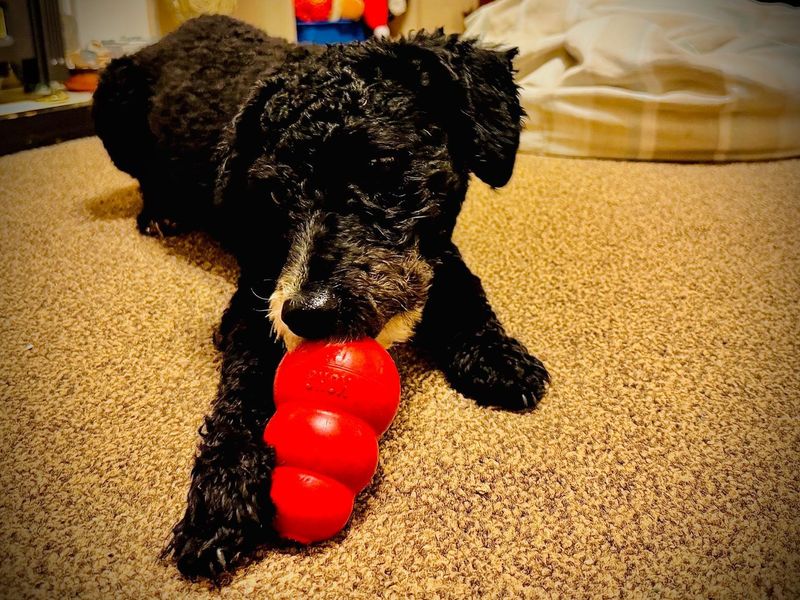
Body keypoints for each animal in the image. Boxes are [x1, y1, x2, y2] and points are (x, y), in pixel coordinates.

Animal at [90, 14, 548, 584]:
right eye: (273, 192)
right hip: (111, 100)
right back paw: (160, 210)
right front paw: (220, 498)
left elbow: (463, 287)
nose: (307, 314)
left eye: (382, 163)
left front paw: (495, 354)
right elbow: (241, 391)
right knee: (145, 179)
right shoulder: (256, 299)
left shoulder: (438, 250)